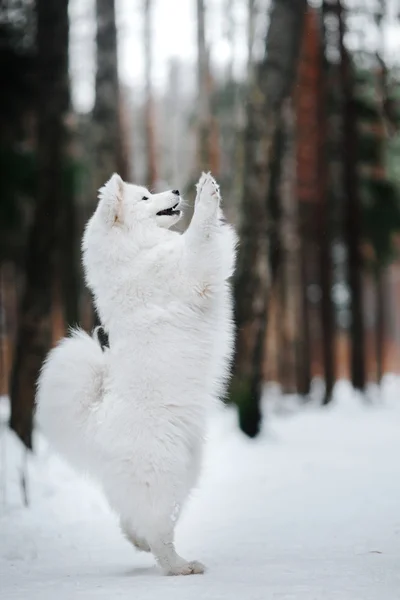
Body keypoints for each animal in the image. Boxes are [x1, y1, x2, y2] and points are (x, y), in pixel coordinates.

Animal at [35, 171, 238, 576]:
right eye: (144, 198)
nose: (175, 190)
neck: (135, 255)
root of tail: (96, 424)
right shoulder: (190, 270)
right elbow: (200, 236)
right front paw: (207, 195)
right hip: (164, 473)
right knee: (158, 531)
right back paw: (180, 565)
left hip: (184, 470)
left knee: (136, 520)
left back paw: (142, 543)